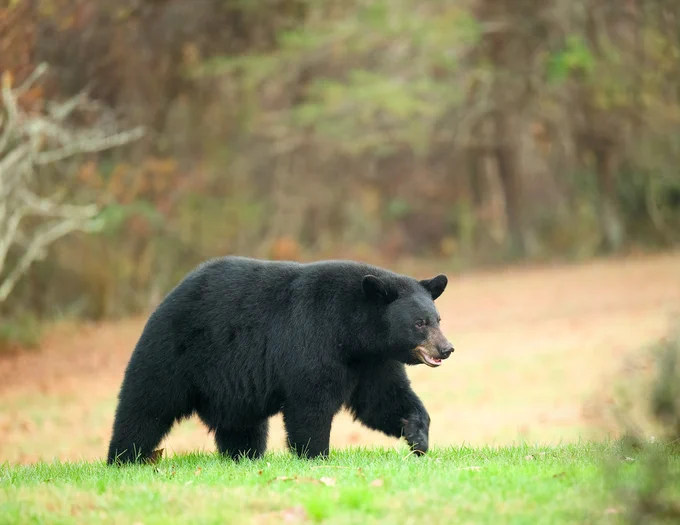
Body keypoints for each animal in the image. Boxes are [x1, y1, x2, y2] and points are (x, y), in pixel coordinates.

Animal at [107, 256, 454, 464]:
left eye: (438, 319)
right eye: (420, 323)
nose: (446, 348)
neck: (353, 333)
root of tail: (170, 295)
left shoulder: (372, 361)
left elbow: (382, 400)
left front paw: (417, 436)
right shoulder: (313, 340)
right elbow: (310, 403)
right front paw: (316, 455)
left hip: (231, 388)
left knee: (242, 426)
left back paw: (244, 456)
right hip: (174, 353)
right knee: (145, 405)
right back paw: (123, 458)